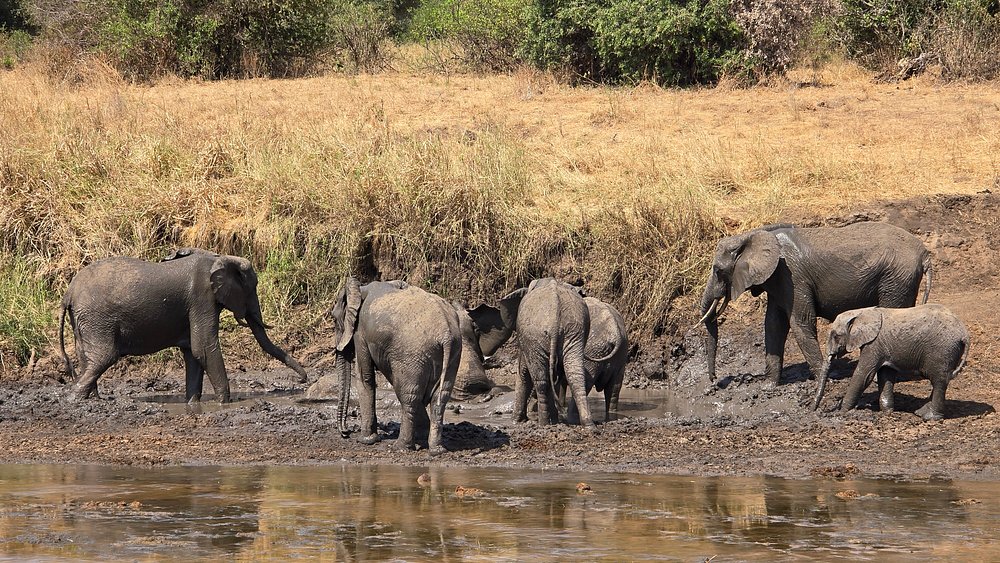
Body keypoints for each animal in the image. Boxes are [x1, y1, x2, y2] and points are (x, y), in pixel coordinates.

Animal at [58, 248, 308, 403]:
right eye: (251, 288)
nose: (303, 380)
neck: (218, 256)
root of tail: (68, 293)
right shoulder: (202, 297)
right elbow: (203, 348)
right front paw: (225, 403)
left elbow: (193, 353)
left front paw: (193, 404)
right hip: (97, 318)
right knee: (104, 357)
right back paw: (74, 399)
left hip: (83, 320)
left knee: (86, 357)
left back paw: (92, 399)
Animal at [331, 277, 460, 453]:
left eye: (333, 318)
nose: (346, 432)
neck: (360, 288)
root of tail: (445, 334)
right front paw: (421, 433)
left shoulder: (360, 331)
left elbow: (365, 376)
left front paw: (365, 441)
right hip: (452, 351)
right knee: (439, 397)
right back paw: (436, 450)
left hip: (412, 352)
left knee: (408, 396)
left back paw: (401, 447)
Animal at [699, 222, 931, 386]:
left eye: (718, 271)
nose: (714, 381)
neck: (755, 234)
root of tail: (924, 254)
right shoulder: (777, 280)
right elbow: (774, 325)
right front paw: (768, 386)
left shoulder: (793, 277)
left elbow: (801, 322)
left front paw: (823, 379)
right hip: (902, 280)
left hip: (895, 278)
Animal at [813, 304, 970, 420]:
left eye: (835, 336)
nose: (813, 410)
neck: (861, 312)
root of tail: (964, 333)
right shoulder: (882, 347)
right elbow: (885, 375)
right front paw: (887, 411)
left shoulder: (873, 344)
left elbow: (864, 375)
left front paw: (842, 412)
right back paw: (921, 412)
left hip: (942, 350)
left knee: (938, 381)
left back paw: (929, 417)